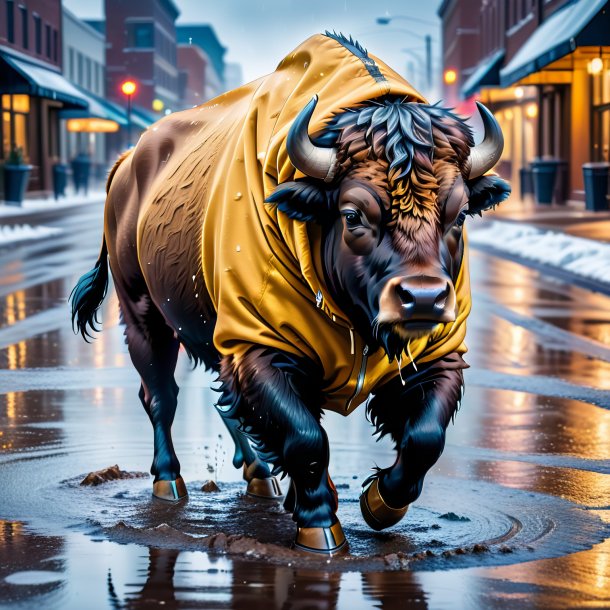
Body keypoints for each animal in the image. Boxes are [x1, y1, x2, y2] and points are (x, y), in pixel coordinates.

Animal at [71, 34, 508, 556]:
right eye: (352, 214)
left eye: (459, 213)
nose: (422, 299)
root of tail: (127, 164)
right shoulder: (260, 347)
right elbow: (305, 436)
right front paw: (320, 525)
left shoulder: (438, 353)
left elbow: (425, 437)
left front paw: (378, 503)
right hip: (144, 315)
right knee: (161, 396)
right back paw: (169, 482)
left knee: (226, 408)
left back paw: (260, 477)